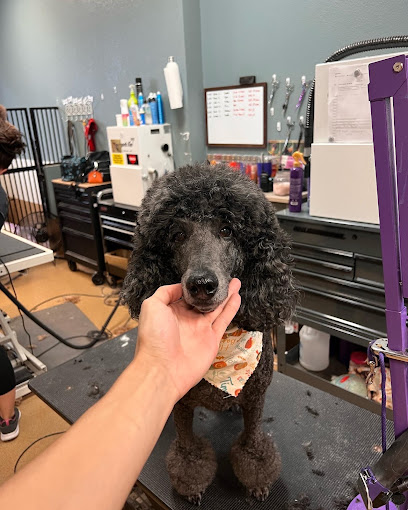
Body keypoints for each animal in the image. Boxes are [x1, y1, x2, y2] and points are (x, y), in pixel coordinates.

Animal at [121, 162, 296, 502]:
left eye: (227, 230)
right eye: (177, 234)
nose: (202, 284)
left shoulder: (255, 398)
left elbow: (252, 444)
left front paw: (257, 478)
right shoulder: (181, 405)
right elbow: (189, 452)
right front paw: (191, 483)